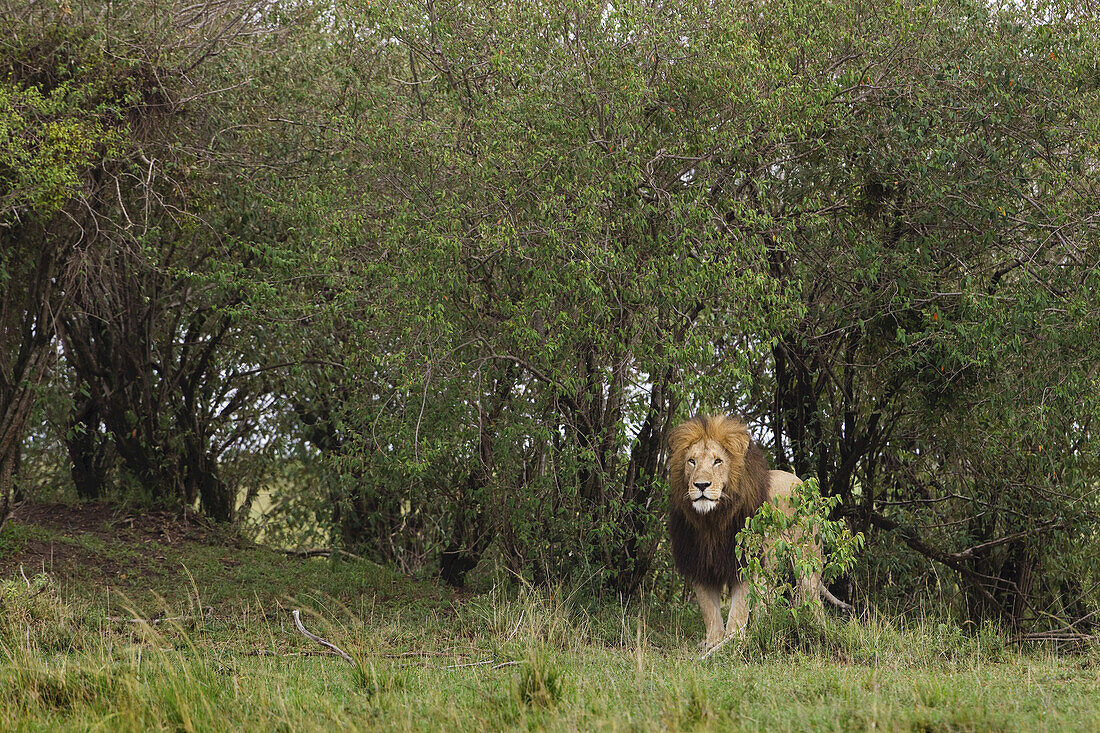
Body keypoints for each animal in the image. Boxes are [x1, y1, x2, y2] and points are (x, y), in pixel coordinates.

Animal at [660, 413, 849, 647]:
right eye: (691, 461)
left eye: (718, 461)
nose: (701, 485)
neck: (712, 521)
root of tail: (800, 481)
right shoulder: (700, 565)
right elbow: (709, 611)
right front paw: (713, 642)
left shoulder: (747, 563)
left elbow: (739, 609)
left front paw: (733, 641)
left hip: (806, 560)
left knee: (812, 600)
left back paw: (818, 631)